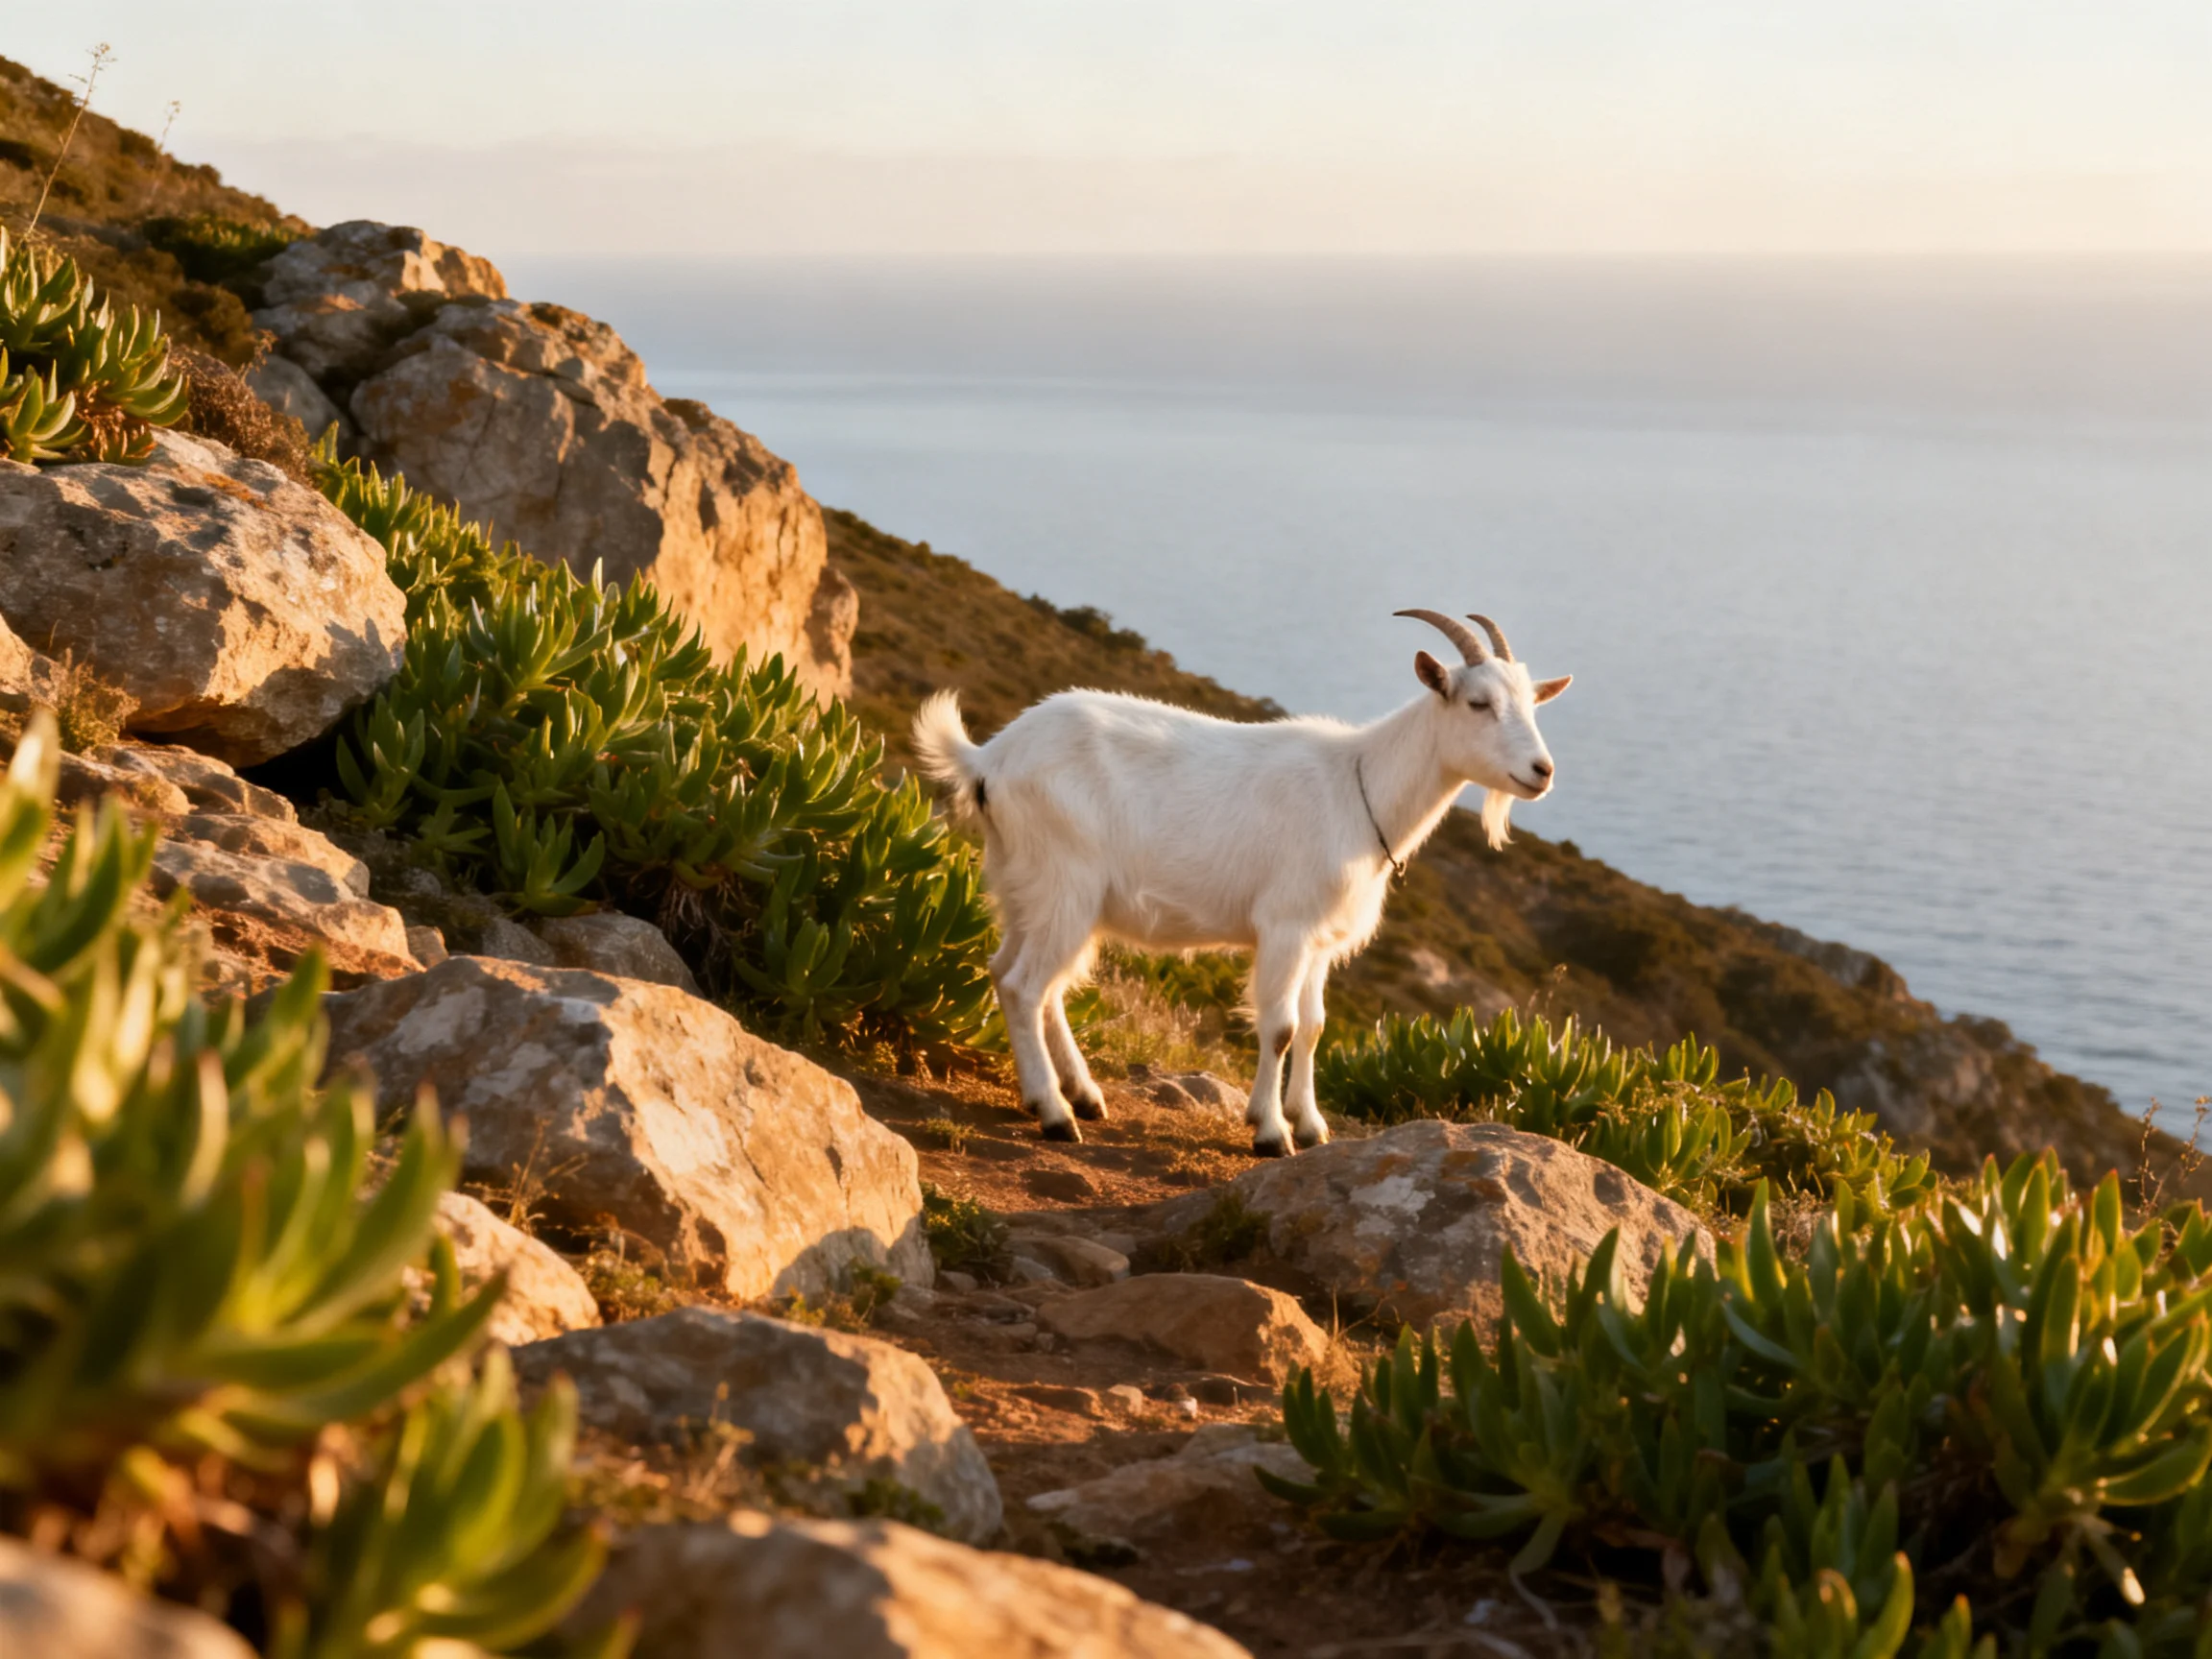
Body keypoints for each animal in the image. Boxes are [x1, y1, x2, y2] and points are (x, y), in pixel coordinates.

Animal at [911, 610, 1571, 1155]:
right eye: (1478, 703)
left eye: (1534, 705)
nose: (1542, 771)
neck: (1359, 785)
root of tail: (989, 759)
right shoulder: (1285, 926)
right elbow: (1279, 1028)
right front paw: (1272, 1133)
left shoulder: (1319, 940)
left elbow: (1313, 1027)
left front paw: (1310, 1124)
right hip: (1064, 884)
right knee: (1026, 986)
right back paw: (1054, 1113)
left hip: (1023, 884)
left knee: (1018, 975)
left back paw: (1082, 1096)